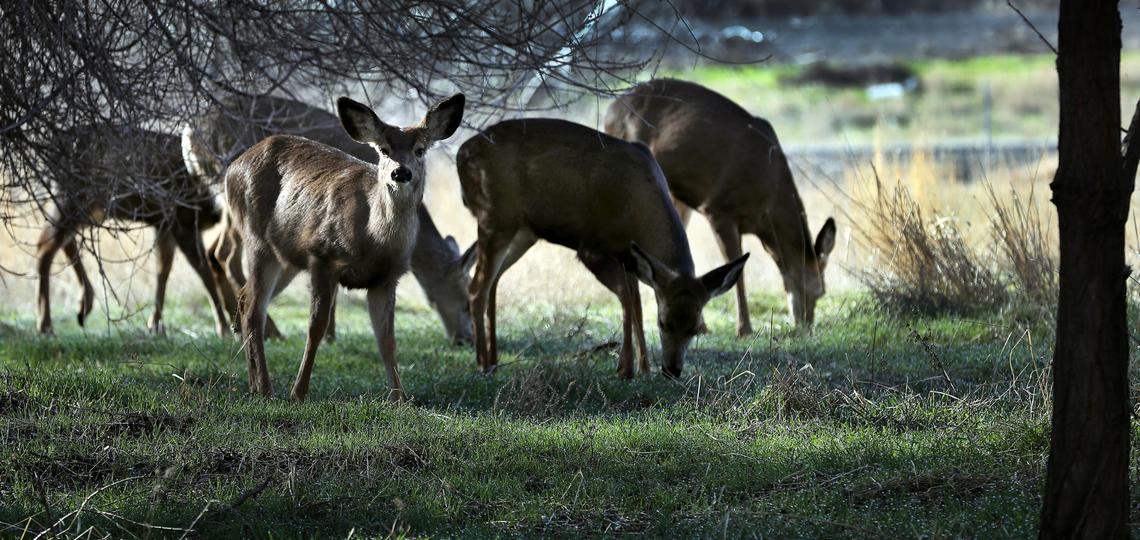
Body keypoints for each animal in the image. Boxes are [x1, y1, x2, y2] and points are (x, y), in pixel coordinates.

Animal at [34, 126, 230, 337]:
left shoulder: (164, 224)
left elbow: (163, 269)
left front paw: (155, 325)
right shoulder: (182, 220)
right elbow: (204, 272)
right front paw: (224, 328)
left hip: (92, 209)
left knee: (62, 241)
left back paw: (83, 306)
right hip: (72, 198)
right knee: (45, 246)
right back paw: (45, 324)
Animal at [182, 94, 474, 345]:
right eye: (465, 300)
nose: (465, 339)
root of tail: (188, 131)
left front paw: (330, 334)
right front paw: (329, 336)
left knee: (214, 252)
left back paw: (227, 328)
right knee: (226, 255)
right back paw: (268, 331)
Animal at [226, 94, 464, 401]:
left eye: (420, 149)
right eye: (384, 150)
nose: (400, 172)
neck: (374, 239)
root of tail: (232, 168)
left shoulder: (387, 278)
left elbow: (387, 339)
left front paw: (399, 399)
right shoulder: (323, 256)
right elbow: (316, 327)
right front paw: (298, 393)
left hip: (286, 257)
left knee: (246, 298)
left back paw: (255, 385)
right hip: (256, 238)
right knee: (254, 308)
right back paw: (266, 389)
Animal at [456, 118, 749, 378]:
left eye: (696, 328)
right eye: (663, 322)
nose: (672, 370)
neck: (638, 208)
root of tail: (462, 154)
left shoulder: (630, 257)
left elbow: (637, 303)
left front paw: (643, 368)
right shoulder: (592, 248)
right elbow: (626, 299)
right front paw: (625, 369)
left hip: (523, 232)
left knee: (494, 280)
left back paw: (494, 360)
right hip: (494, 219)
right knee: (477, 287)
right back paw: (482, 364)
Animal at [605, 79, 837, 335]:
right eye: (819, 291)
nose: (806, 326)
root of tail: (611, 107)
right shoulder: (719, 209)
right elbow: (737, 272)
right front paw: (744, 329)